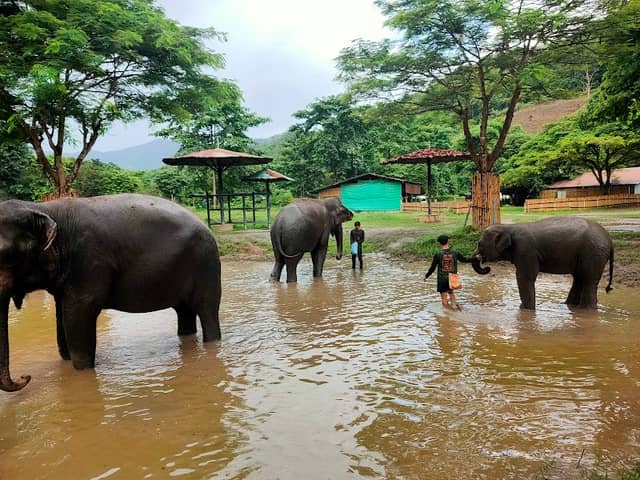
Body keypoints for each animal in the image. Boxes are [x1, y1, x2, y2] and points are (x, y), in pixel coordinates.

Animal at [0, 194, 221, 392]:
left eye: (5, 255)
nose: (25, 376)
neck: (42, 208)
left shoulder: (88, 263)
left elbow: (78, 317)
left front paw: (82, 372)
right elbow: (62, 318)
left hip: (206, 263)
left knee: (207, 310)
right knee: (184, 311)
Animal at [473, 216, 613, 310]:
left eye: (479, 244)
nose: (487, 267)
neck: (508, 228)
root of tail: (609, 239)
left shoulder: (526, 250)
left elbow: (525, 277)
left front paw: (526, 310)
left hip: (593, 253)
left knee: (589, 280)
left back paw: (586, 310)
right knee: (580, 278)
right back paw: (570, 306)